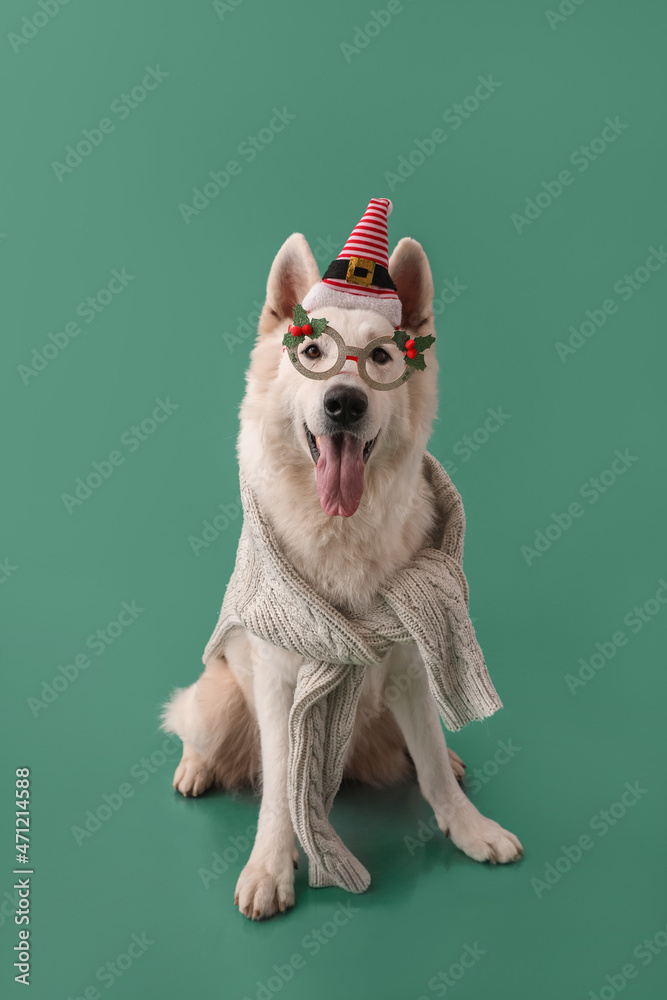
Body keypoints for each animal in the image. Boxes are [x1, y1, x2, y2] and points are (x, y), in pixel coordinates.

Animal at [162, 230, 520, 916]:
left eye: (380, 357)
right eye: (312, 352)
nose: (345, 403)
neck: (342, 530)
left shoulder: (412, 663)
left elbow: (432, 768)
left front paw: (469, 828)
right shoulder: (282, 681)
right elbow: (282, 789)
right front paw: (271, 867)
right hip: (219, 698)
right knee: (194, 723)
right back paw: (195, 767)